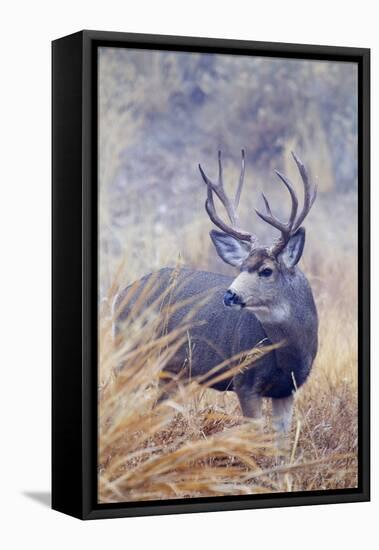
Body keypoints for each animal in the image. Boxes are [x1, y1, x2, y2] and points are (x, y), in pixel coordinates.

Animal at [116, 150, 318, 440]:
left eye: (266, 270)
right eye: (241, 267)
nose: (230, 295)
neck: (289, 352)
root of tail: (122, 294)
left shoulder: (287, 389)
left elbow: (281, 442)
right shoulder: (244, 379)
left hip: (172, 373)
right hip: (131, 354)